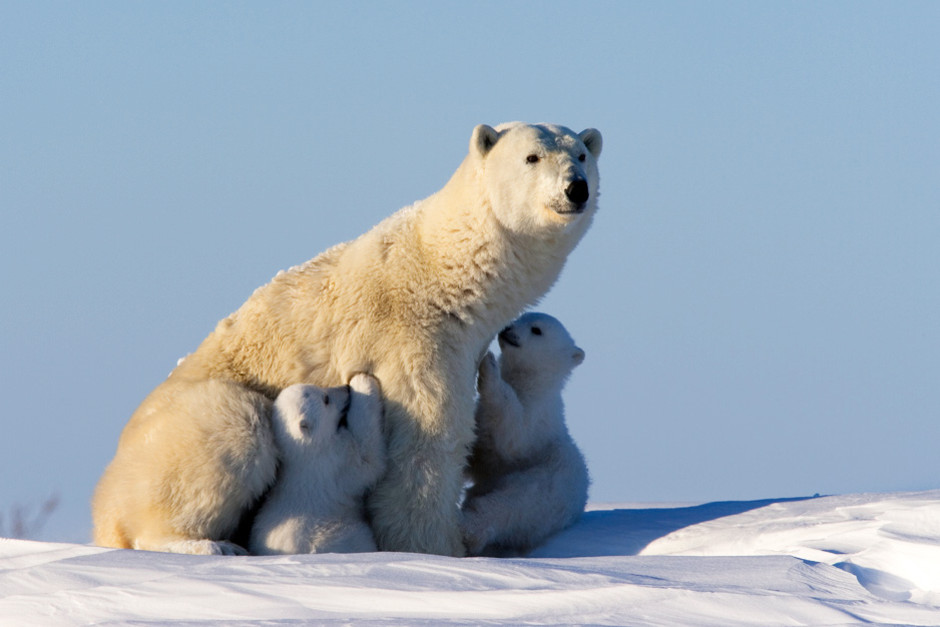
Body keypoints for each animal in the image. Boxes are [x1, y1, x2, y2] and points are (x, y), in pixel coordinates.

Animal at [249, 375, 386, 555]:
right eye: (325, 399)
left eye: (319, 387)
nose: (345, 388)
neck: (303, 451)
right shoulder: (334, 462)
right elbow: (367, 459)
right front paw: (362, 381)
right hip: (340, 534)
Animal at [461, 312, 590, 557]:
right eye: (520, 317)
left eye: (536, 330)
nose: (507, 328)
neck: (530, 386)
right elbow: (479, 452)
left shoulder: (537, 423)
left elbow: (513, 436)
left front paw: (489, 366)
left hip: (543, 490)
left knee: (510, 505)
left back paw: (470, 527)